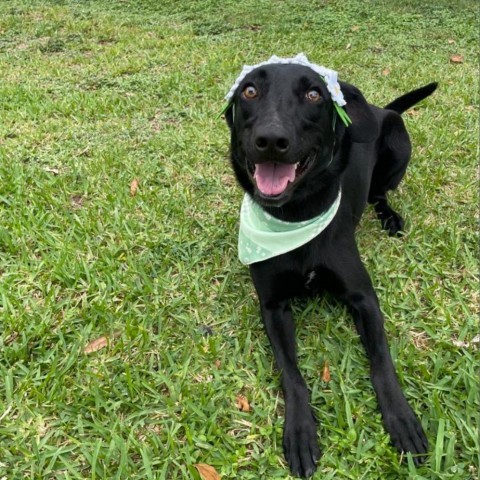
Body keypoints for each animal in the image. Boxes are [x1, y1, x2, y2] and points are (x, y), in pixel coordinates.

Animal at [223, 60, 436, 476]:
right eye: (250, 91)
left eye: (313, 94)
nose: (271, 139)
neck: (295, 216)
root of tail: (382, 110)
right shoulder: (273, 307)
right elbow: (291, 374)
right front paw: (300, 430)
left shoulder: (363, 297)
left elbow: (382, 362)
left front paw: (401, 418)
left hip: (398, 146)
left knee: (379, 194)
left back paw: (390, 218)